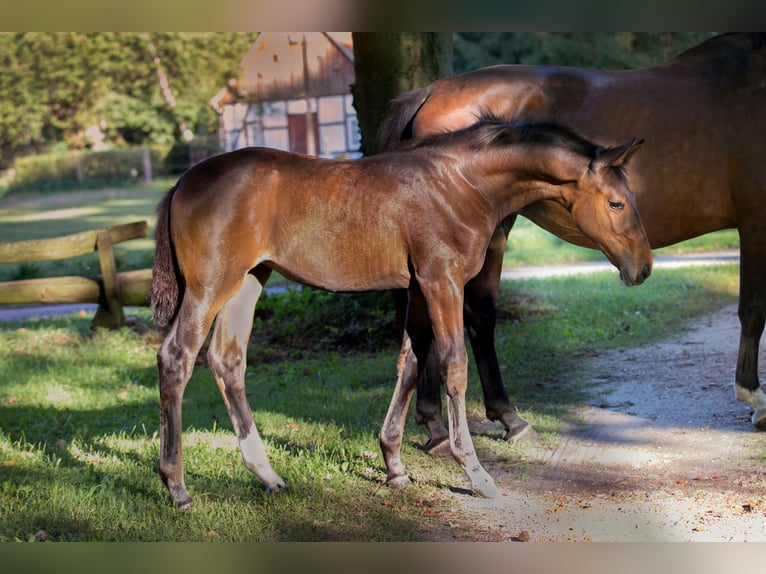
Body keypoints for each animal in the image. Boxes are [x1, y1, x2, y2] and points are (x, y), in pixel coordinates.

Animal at [148, 117, 648, 508]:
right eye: (616, 202)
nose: (642, 268)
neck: (460, 184)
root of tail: (184, 181)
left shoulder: (418, 289)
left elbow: (410, 364)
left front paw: (394, 466)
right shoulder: (442, 282)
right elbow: (453, 367)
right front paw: (476, 473)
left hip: (249, 281)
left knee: (227, 361)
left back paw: (267, 476)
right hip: (211, 286)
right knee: (176, 358)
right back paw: (177, 487)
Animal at [380, 31, 766, 450]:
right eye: (616, 202)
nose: (642, 267)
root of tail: (432, 91)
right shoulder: (756, 222)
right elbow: (753, 310)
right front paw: (755, 399)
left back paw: (440, 425)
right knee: (475, 315)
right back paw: (491, 420)